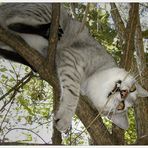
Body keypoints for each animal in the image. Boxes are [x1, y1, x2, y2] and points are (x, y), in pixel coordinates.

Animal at [0, 2, 147, 131]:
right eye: (133, 88)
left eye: (121, 106)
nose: (124, 93)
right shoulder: (71, 57)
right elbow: (72, 92)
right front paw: (65, 118)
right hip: (47, 12)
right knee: (12, 23)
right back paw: (46, 30)